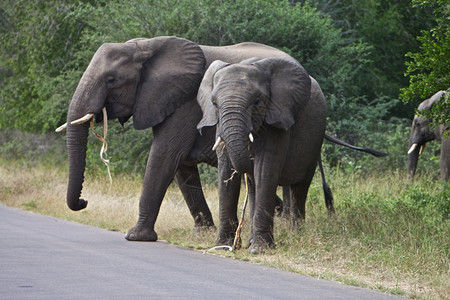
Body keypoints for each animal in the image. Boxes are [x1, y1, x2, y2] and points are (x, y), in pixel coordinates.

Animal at [195, 57, 326, 252]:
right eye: (214, 104)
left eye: (257, 101)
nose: (249, 157)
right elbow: (226, 171)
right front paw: (222, 246)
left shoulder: (276, 119)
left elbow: (265, 170)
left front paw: (260, 249)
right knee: (254, 187)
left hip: (315, 142)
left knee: (299, 188)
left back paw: (296, 234)